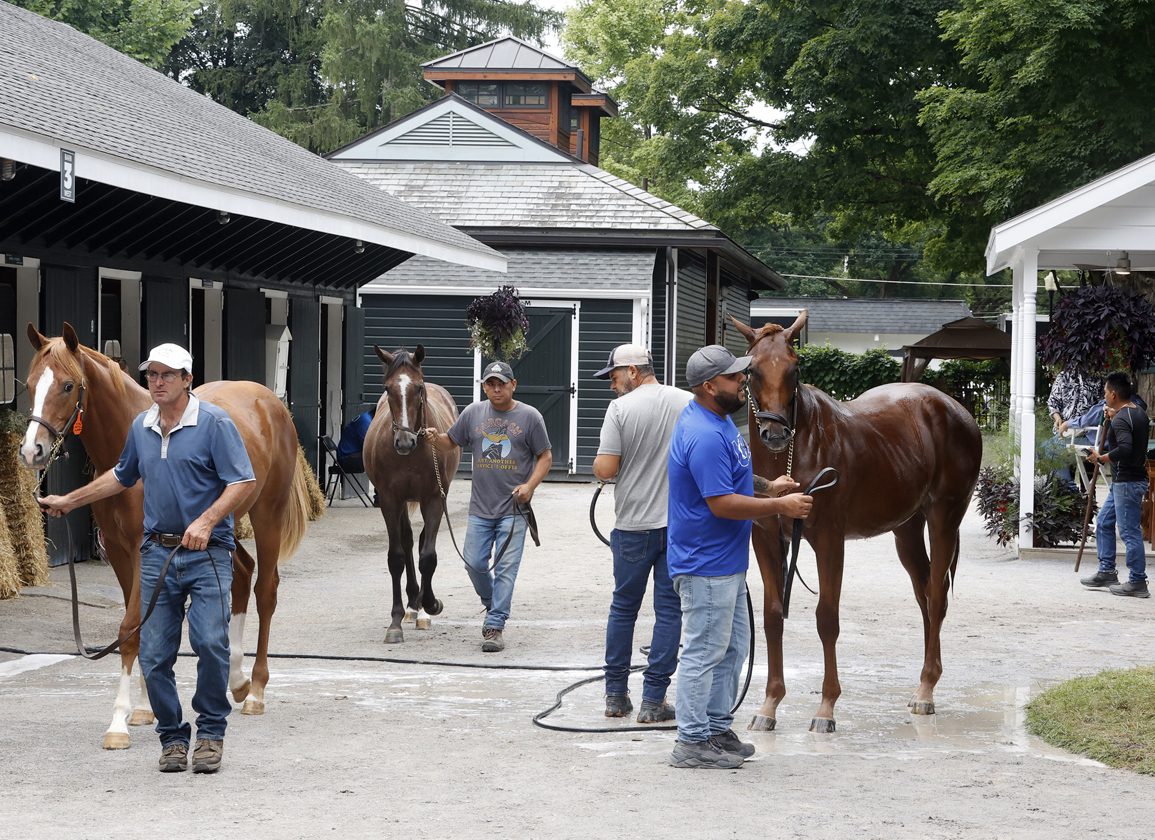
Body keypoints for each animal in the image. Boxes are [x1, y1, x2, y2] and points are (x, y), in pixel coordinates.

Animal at [22, 321, 311, 748]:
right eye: (29, 384)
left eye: (68, 385)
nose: (32, 451)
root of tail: (270, 402)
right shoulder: (122, 552)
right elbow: (145, 627)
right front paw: (145, 708)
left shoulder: (143, 550)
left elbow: (129, 629)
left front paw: (119, 723)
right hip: (214, 528)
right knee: (242, 574)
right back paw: (236, 679)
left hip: (266, 515)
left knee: (266, 589)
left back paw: (256, 691)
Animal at [367, 344, 462, 642]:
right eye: (387, 389)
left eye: (418, 388)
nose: (404, 441)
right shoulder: (389, 500)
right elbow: (396, 557)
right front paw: (395, 621)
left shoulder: (434, 498)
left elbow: (428, 556)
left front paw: (431, 604)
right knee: (408, 541)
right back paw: (411, 606)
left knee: (420, 542)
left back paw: (420, 608)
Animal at [734, 311, 979, 734]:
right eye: (752, 370)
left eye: (795, 368)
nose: (776, 432)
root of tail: (956, 409)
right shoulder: (767, 539)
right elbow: (772, 616)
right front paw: (769, 705)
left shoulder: (829, 541)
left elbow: (826, 619)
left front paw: (826, 708)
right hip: (906, 530)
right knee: (924, 594)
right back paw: (923, 682)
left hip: (944, 518)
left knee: (936, 598)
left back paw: (926, 691)